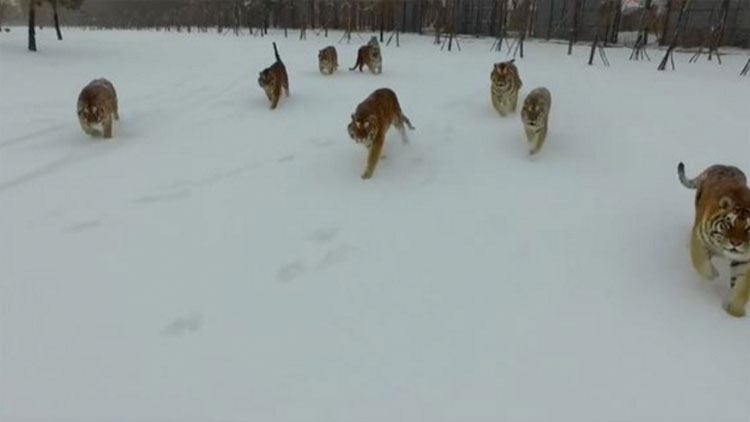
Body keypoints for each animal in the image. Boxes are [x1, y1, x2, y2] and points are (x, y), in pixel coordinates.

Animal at [680, 162, 750, 316]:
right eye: (729, 225)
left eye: (748, 229)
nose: (735, 243)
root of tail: (723, 165)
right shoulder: (699, 239)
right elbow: (701, 264)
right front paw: (713, 275)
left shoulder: (745, 260)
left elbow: (741, 289)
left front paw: (734, 312)